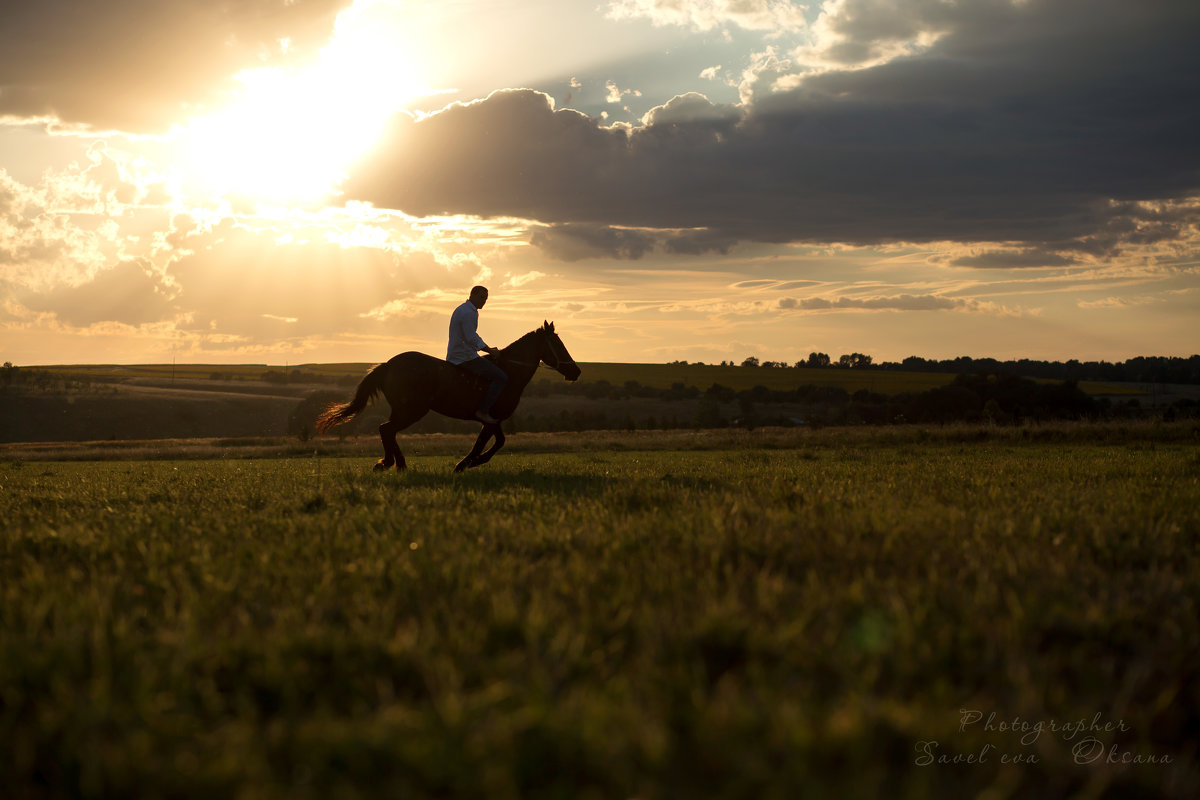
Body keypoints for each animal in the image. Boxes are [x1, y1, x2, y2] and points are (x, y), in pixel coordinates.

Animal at [314, 321, 580, 472]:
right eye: (558, 344)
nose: (576, 371)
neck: (510, 373)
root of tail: (389, 364)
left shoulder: (489, 422)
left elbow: (487, 442)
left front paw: (466, 463)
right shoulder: (491, 418)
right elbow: (496, 443)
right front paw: (468, 463)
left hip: (404, 410)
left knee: (387, 429)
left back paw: (394, 464)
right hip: (412, 410)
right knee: (386, 429)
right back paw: (391, 464)